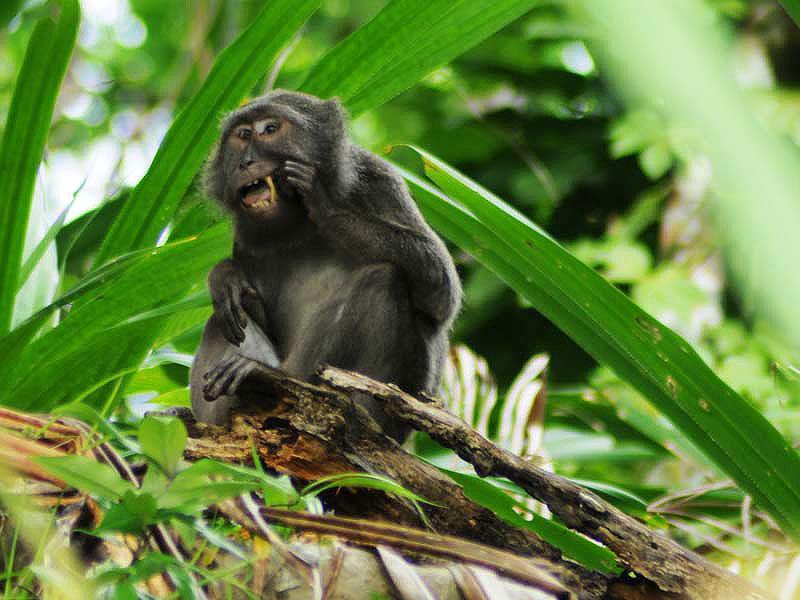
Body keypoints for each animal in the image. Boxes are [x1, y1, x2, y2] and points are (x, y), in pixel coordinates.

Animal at [190, 90, 461, 442]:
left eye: (269, 129)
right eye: (242, 135)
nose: (244, 163)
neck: (297, 224)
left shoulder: (378, 180)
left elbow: (441, 294)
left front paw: (323, 204)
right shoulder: (247, 240)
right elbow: (249, 304)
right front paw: (225, 276)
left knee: (383, 278)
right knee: (220, 320)